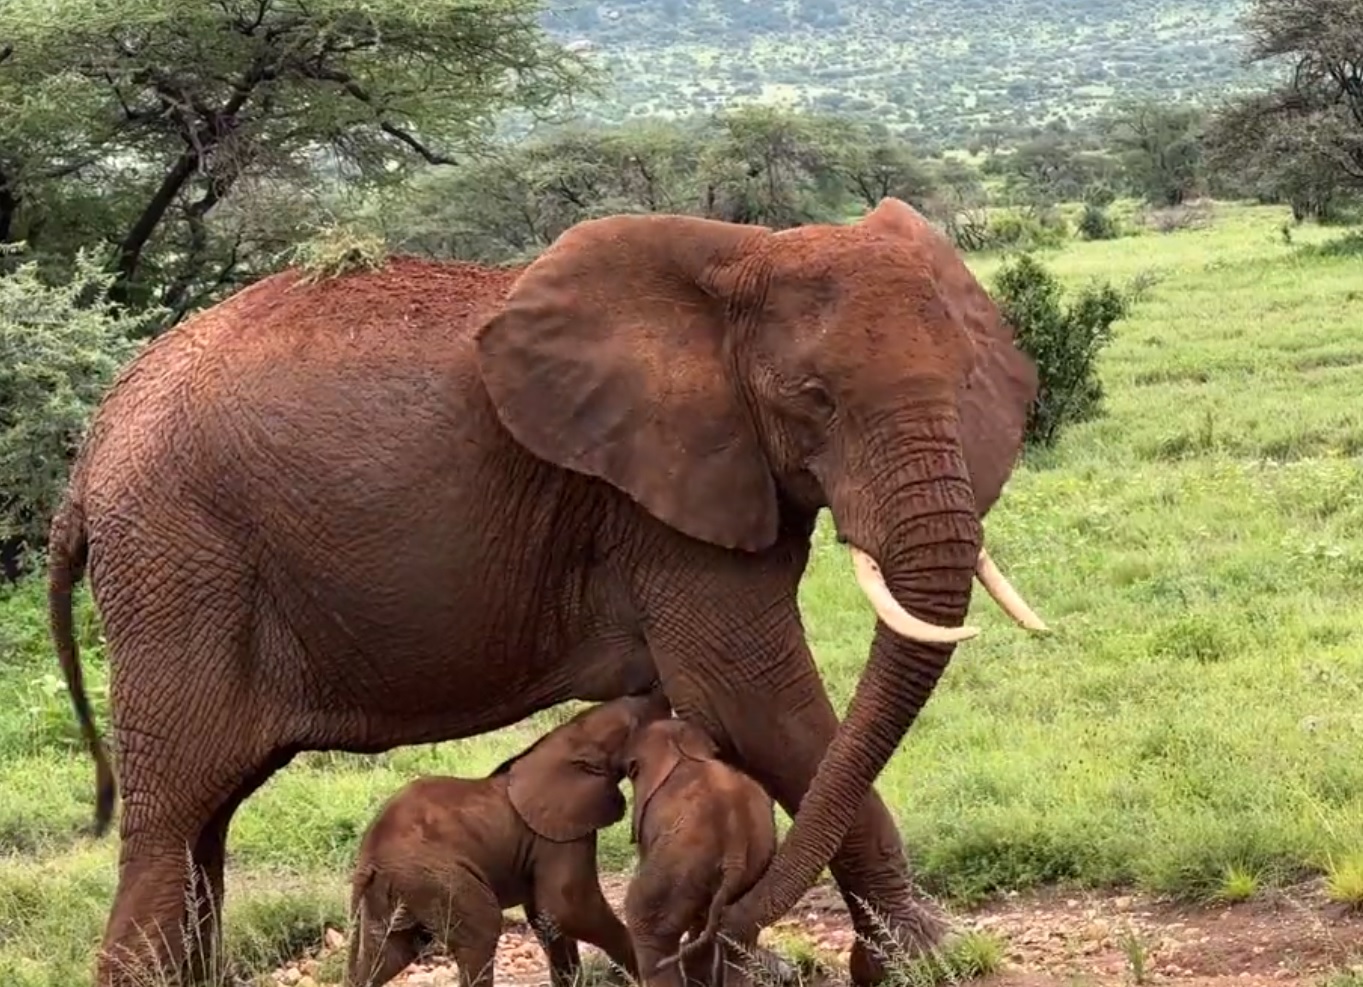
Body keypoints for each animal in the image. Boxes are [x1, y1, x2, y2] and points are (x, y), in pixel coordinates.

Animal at [345, 693, 668, 987]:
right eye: (636, 724)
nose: (659, 697)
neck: (570, 739)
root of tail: (367, 859)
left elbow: (546, 917)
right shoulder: (558, 834)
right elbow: (569, 908)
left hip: (395, 890)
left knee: (390, 952)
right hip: (436, 878)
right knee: (481, 931)